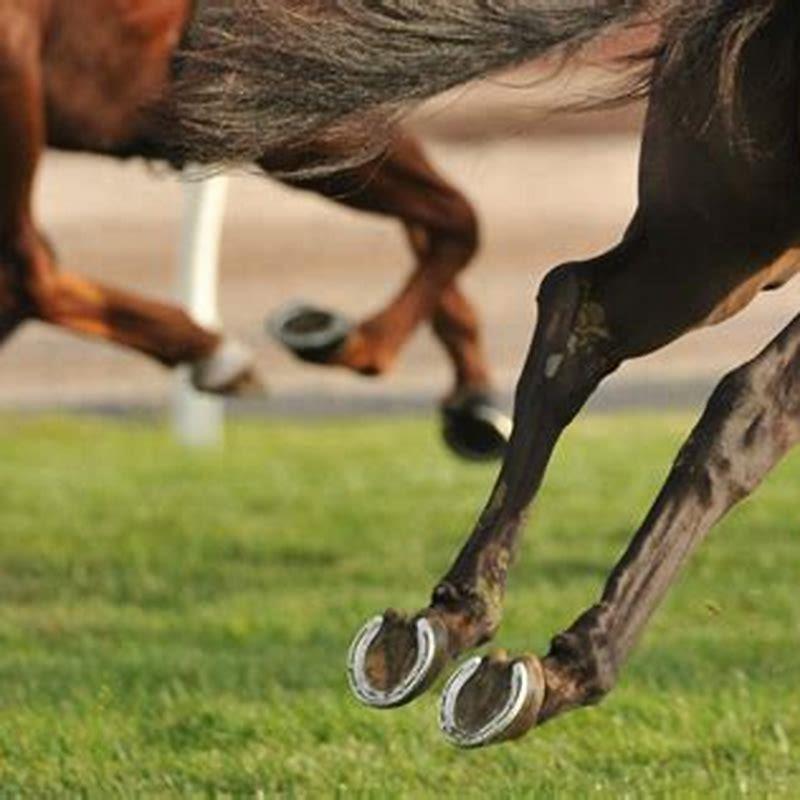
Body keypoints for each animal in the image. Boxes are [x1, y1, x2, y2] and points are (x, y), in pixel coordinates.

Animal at [0, 0, 512, 464]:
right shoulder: (295, 118)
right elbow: (459, 219)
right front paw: (360, 344)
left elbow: (437, 221)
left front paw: (476, 400)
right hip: (17, 73)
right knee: (29, 268)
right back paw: (215, 353)